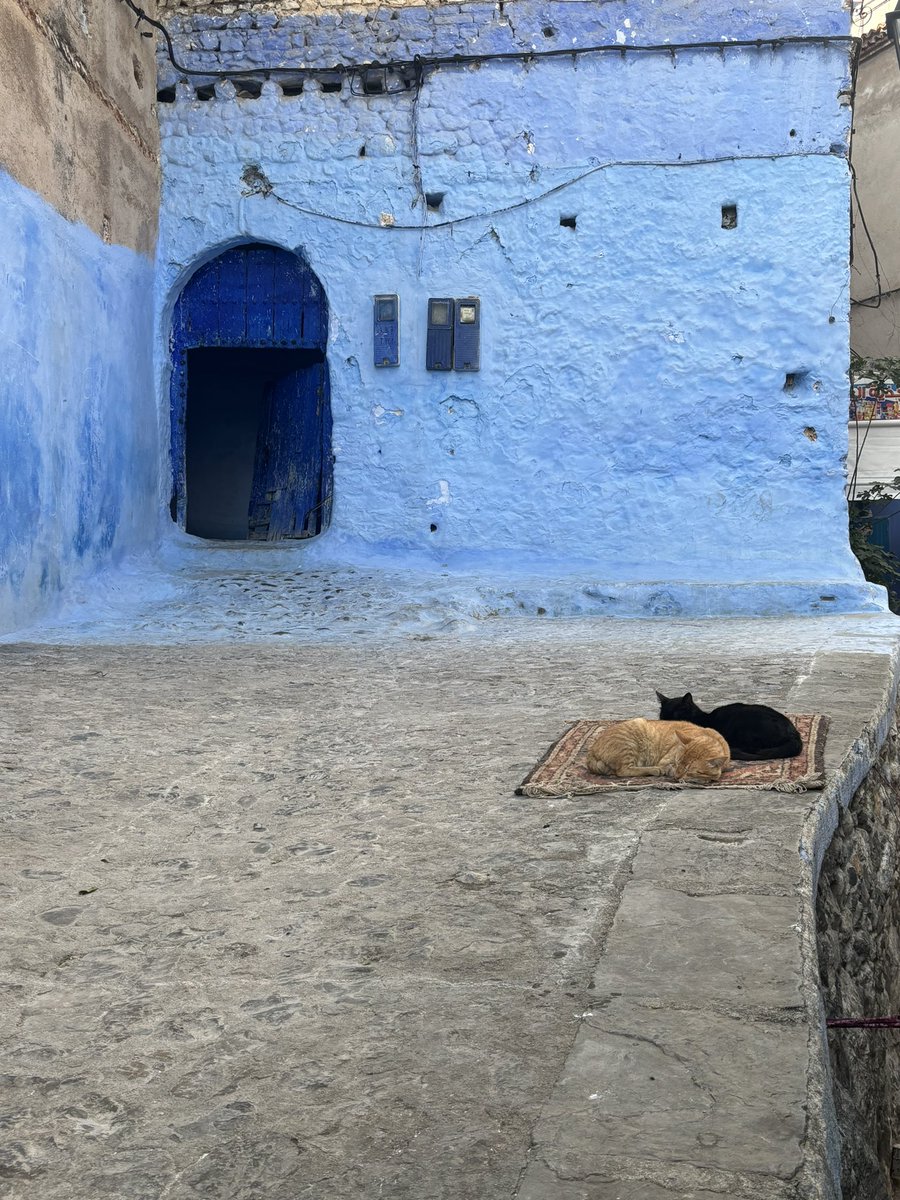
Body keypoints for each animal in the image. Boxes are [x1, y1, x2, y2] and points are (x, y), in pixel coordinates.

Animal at [588, 715, 729, 782]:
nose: (676, 777)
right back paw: (654, 770)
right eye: (677, 762)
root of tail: (591, 752)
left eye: (689, 770)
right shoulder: (666, 762)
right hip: (630, 743)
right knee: (623, 771)